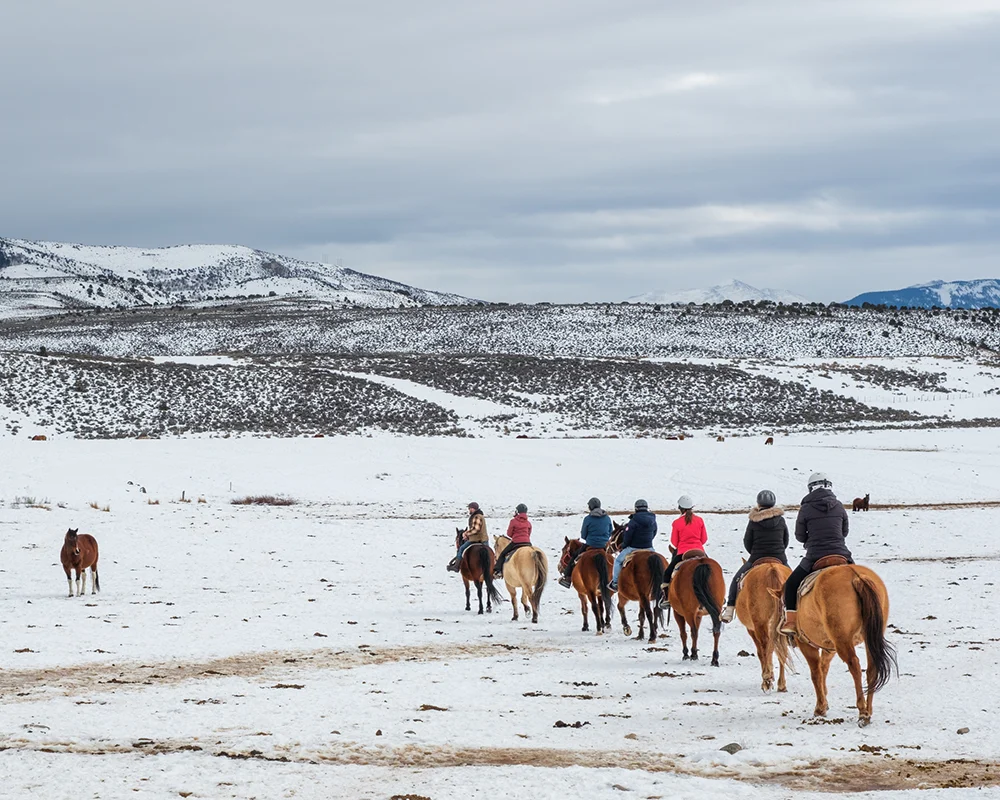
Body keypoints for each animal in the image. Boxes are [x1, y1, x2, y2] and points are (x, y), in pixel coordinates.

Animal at [734, 559, 793, 692]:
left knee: (766, 646)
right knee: (781, 649)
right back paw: (781, 684)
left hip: (760, 624)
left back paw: (767, 678)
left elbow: (761, 652)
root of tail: (772, 569)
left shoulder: (752, 629)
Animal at [771, 564, 896, 727]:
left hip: (842, 640)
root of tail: (856, 577)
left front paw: (820, 708)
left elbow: (816, 672)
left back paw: (862, 711)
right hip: (869, 638)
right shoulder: (830, 647)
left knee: (854, 665)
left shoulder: (806, 644)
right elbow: (823, 668)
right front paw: (824, 702)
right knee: (872, 669)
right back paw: (868, 710)